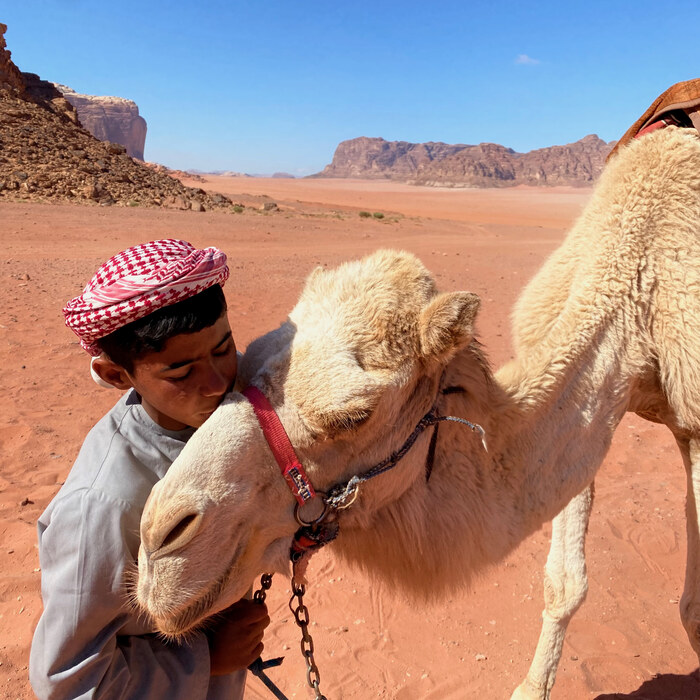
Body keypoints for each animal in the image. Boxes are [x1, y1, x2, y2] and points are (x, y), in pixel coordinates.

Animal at [136, 124, 700, 699]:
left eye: (355, 416)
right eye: (240, 362)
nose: (160, 542)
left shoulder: (687, 420)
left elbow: (691, 611)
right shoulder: (597, 406)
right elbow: (564, 582)